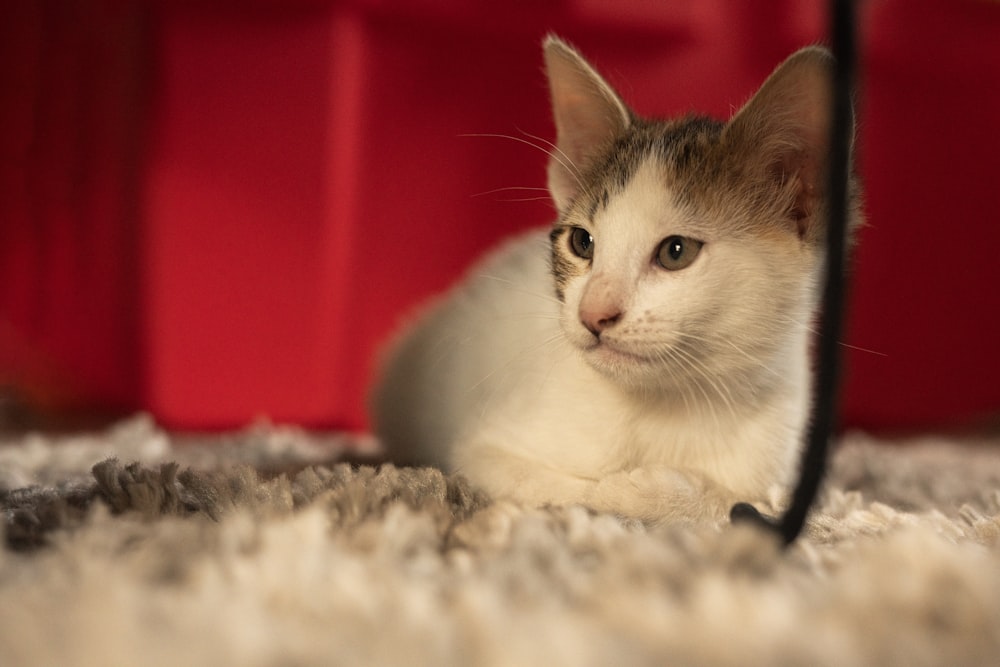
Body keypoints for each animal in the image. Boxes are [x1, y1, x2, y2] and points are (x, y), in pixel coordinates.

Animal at [370, 36, 860, 524]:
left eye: (676, 251)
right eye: (582, 242)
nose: (593, 314)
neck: (672, 403)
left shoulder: (780, 473)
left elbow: (738, 501)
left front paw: (666, 490)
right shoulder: (482, 452)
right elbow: (566, 492)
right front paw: (626, 489)